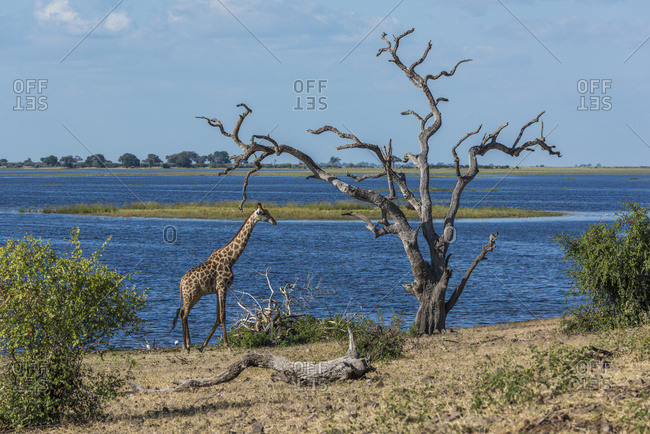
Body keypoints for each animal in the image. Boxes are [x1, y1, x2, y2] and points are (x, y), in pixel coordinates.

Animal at [171, 203, 277, 352]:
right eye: (262, 213)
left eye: (267, 211)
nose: (274, 221)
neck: (231, 259)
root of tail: (181, 283)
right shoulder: (223, 287)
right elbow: (222, 316)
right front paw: (227, 345)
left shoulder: (218, 290)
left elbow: (217, 317)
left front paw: (203, 345)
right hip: (190, 294)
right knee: (184, 313)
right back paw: (186, 347)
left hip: (196, 295)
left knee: (182, 313)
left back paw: (187, 345)